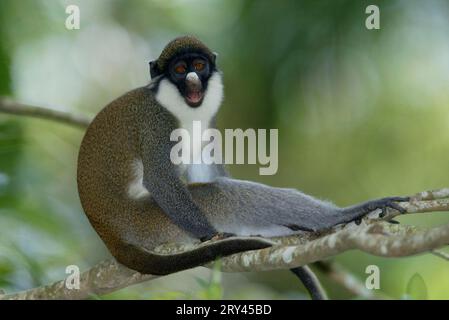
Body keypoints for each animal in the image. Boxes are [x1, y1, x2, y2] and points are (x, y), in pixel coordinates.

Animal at [76, 36, 406, 278]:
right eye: (180, 70)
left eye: (199, 65)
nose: (193, 78)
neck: (180, 106)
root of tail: (108, 232)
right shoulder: (157, 122)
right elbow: (160, 178)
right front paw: (213, 236)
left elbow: (204, 169)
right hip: (149, 220)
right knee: (220, 194)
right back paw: (339, 216)